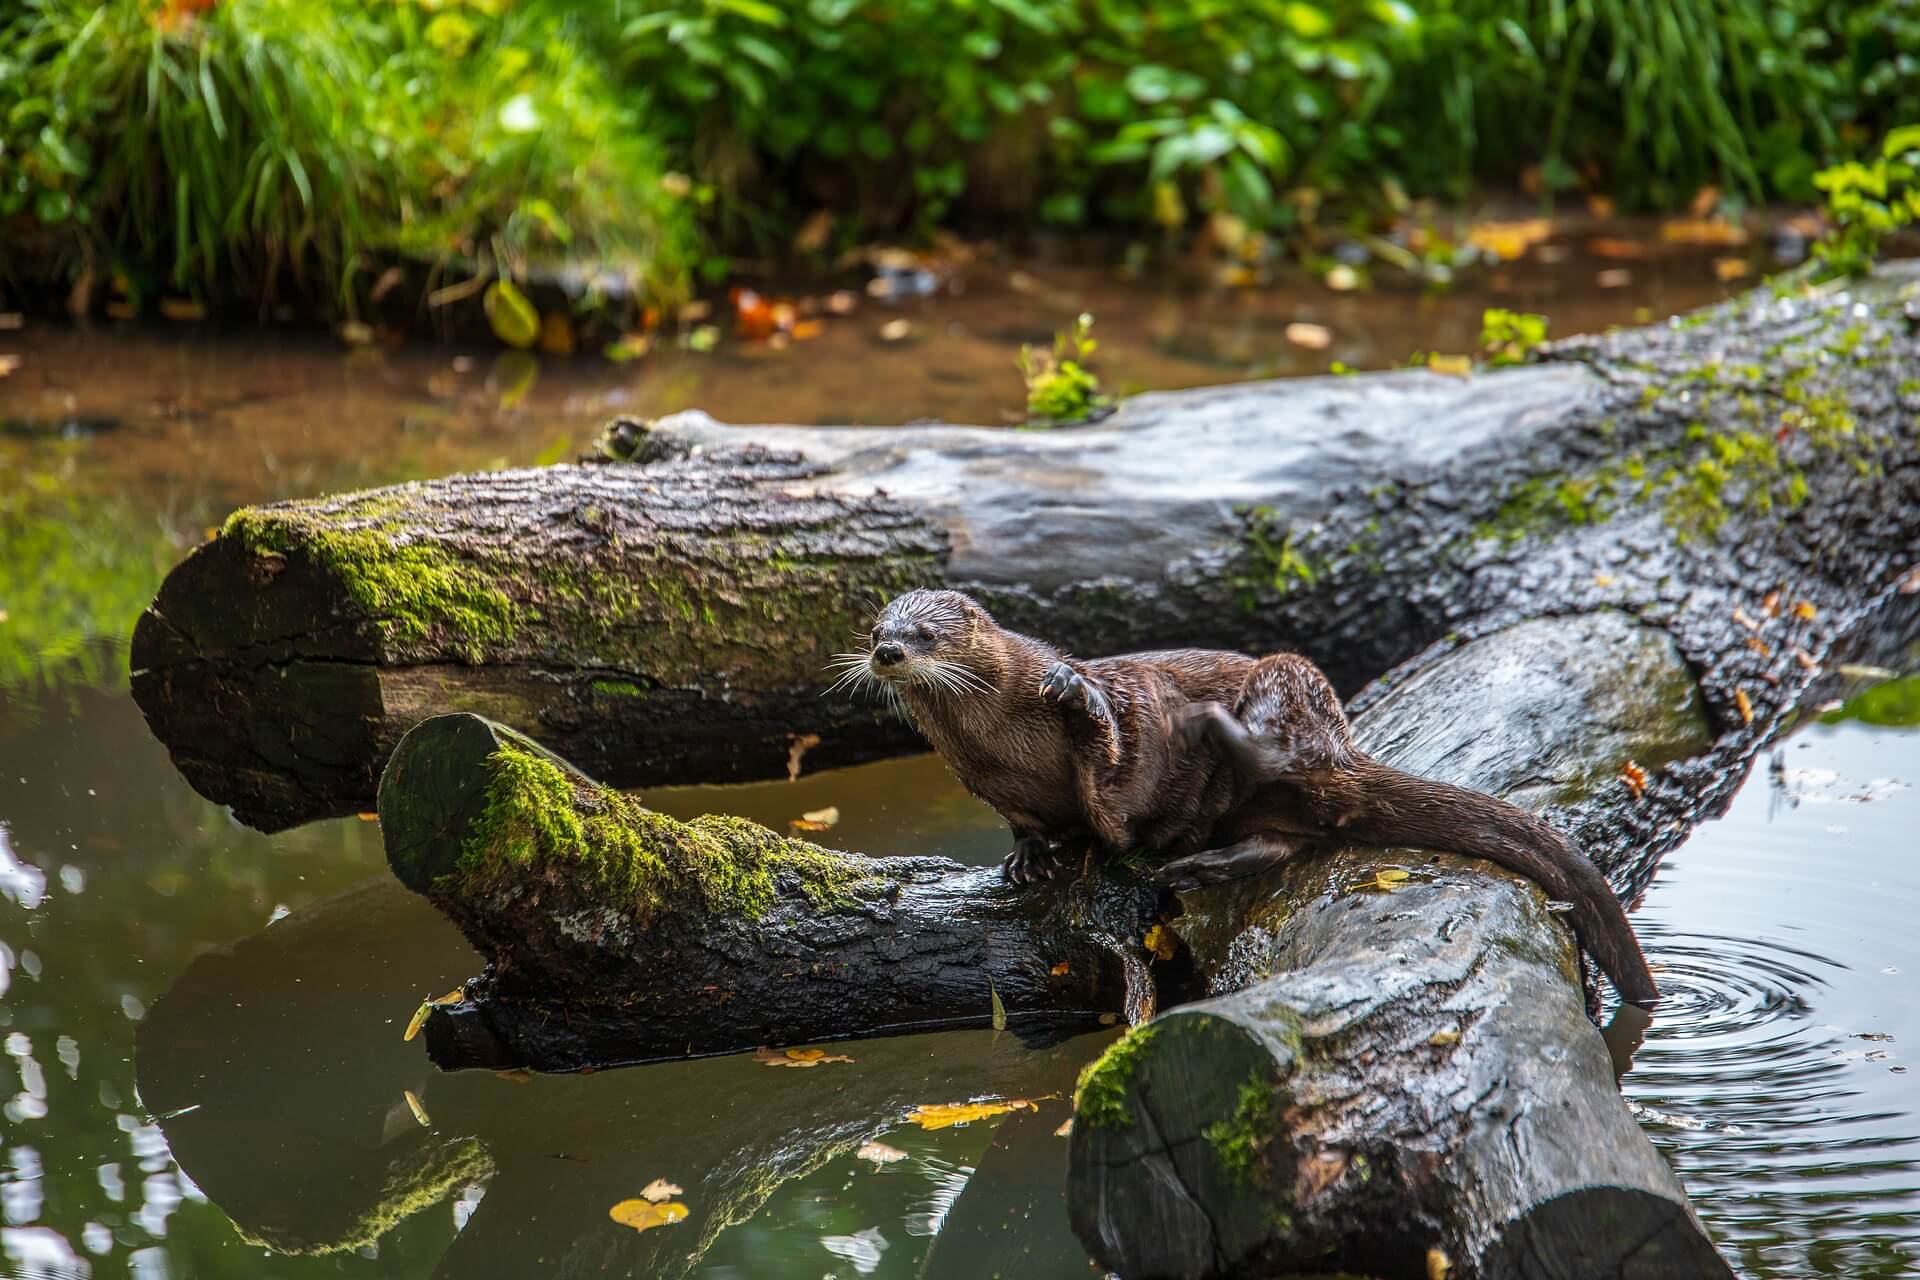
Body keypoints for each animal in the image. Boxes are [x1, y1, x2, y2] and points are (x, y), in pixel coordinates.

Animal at [835, 588, 1657, 1007]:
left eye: (926, 633)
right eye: (876, 630)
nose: (888, 652)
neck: (1000, 739)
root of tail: (1344, 749)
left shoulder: (1113, 714)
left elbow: (1108, 755)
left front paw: (1078, 706)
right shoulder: (986, 782)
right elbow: (1027, 824)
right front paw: (1028, 859)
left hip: (1292, 685)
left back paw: (1209, 739)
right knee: (1283, 840)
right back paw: (1195, 866)